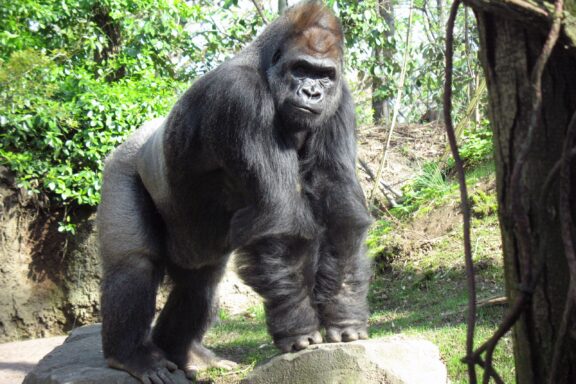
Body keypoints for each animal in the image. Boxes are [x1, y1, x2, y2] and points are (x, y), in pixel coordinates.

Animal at [97, 1, 372, 382]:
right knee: (134, 263)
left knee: (201, 283)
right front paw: (298, 327)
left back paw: (186, 352)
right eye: (301, 69)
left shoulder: (341, 100)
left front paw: (344, 312)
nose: (312, 93)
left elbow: (340, 206)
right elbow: (278, 217)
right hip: (120, 166)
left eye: (325, 76)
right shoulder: (242, 96)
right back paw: (132, 355)